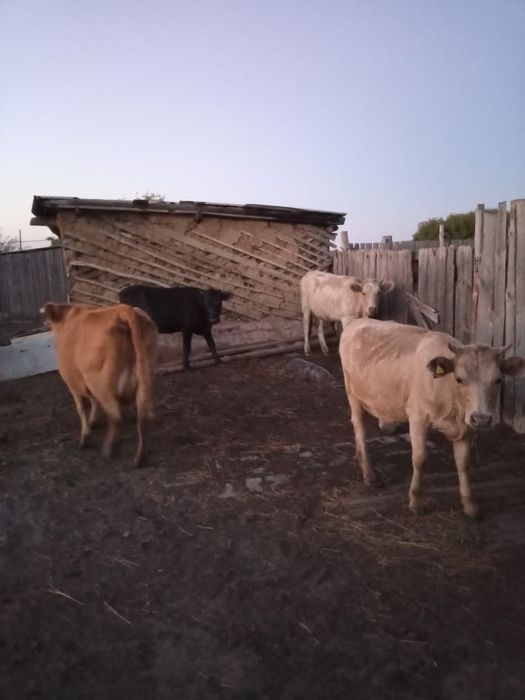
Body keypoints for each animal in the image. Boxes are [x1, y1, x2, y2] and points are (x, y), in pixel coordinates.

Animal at [42, 302, 158, 468]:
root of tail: (123, 310)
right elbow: (93, 402)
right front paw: (94, 421)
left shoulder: (73, 384)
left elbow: (82, 408)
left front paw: (85, 437)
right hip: (146, 376)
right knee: (142, 418)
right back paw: (140, 458)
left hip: (101, 385)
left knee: (116, 417)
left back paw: (108, 449)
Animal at [339, 318, 525, 517]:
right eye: (459, 379)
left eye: (498, 380)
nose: (481, 418)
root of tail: (356, 321)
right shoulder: (417, 418)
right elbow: (420, 459)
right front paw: (415, 501)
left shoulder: (465, 425)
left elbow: (463, 463)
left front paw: (469, 505)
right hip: (353, 395)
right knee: (359, 428)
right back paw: (369, 473)